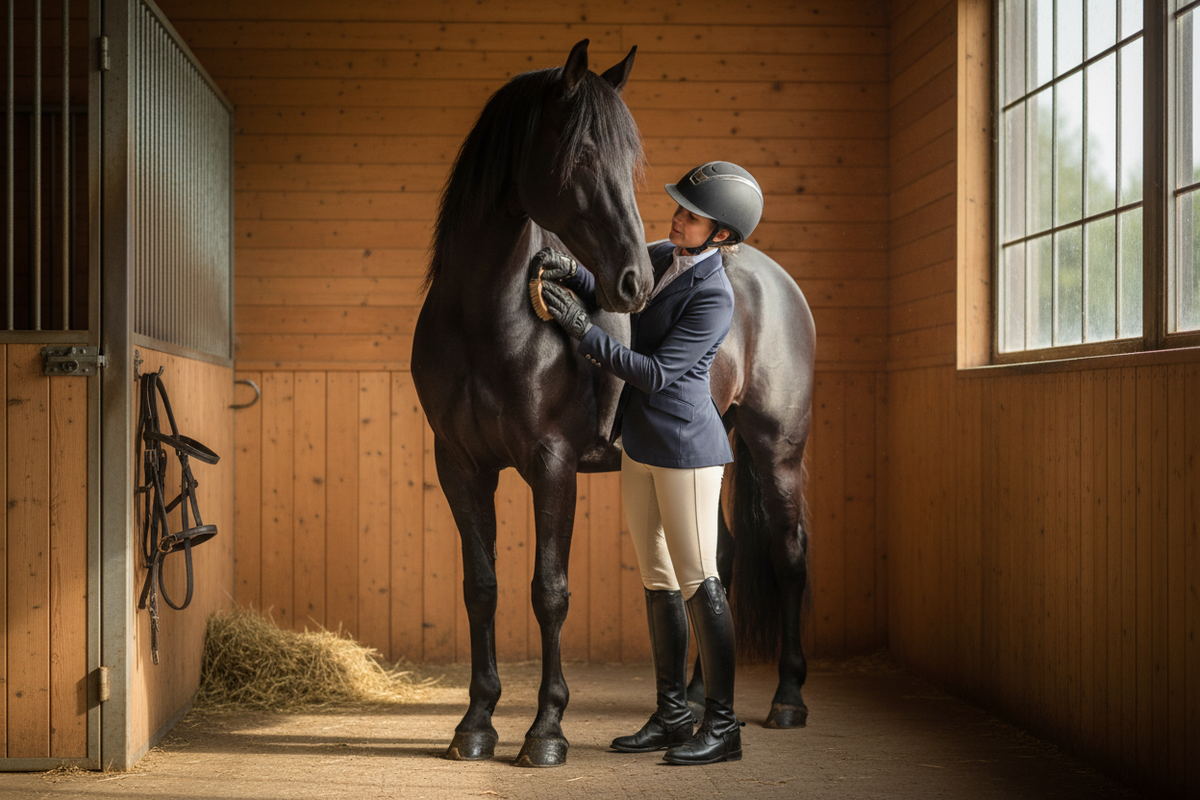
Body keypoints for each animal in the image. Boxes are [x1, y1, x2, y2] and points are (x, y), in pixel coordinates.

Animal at [411, 39, 816, 768]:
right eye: (579, 158)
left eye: (629, 163)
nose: (634, 282)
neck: (484, 320)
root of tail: (772, 279)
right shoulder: (459, 466)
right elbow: (481, 588)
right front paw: (476, 724)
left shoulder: (552, 465)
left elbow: (549, 591)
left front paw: (546, 730)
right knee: (713, 564)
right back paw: (696, 705)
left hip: (778, 453)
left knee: (788, 555)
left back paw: (786, 700)